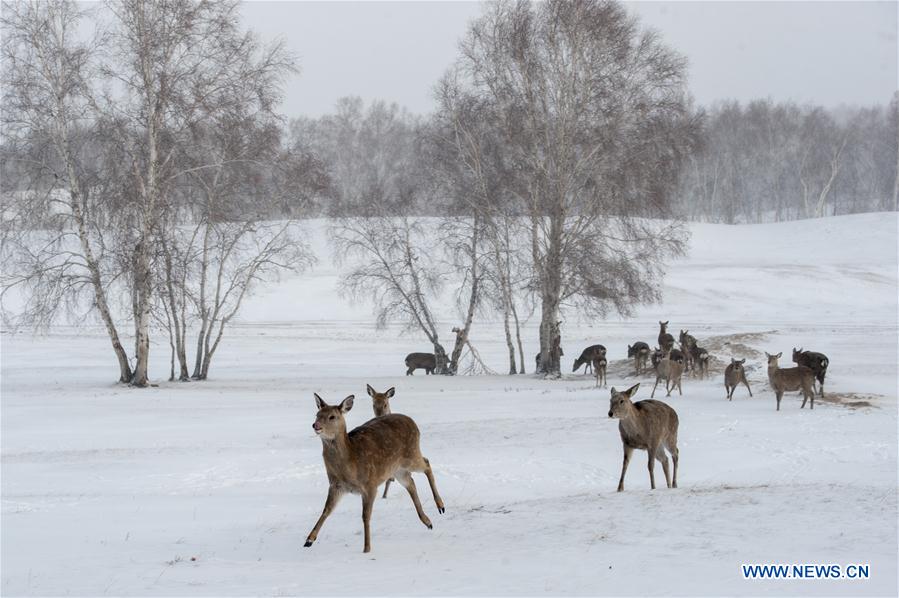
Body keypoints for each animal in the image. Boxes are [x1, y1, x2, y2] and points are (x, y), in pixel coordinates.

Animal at [305, 393, 445, 553]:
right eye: (317, 414)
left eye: (332, 416)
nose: (316, 425)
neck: (350, 464)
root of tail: (413, 422)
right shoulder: (336, 485)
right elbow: (326, 510)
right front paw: (309, 539)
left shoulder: (370, 485)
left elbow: (365, 516)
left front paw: (366, 548)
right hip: (397, 469)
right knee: (411, 482)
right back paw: (428, 521)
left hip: (411, 454)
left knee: (427, 463)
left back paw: (440, 506)